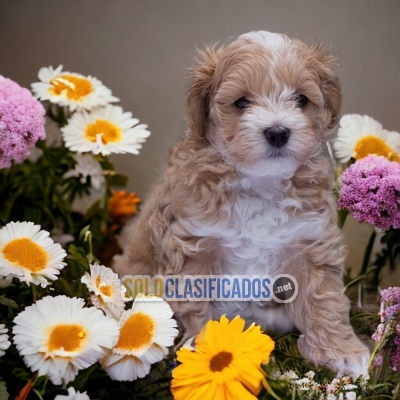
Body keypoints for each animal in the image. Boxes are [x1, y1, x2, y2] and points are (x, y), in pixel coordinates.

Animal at [112, 31, 368, 378]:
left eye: (301, 100)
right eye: (242, 102)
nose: (278, 132)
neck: (261, 183)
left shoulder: (310, 243)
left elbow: (324, 300)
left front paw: (342, 353)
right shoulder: (194, 245)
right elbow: (196, 306)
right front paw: (207, 355)